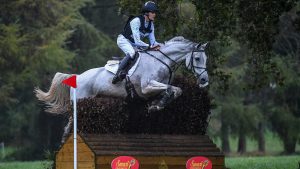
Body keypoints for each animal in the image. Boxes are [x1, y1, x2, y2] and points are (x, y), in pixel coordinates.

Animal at [35, 36, 209, 114]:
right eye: (197, 58)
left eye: (206, 58)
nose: (204, 80)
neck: (161, 61)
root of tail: (77, 77)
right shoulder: (146, 87)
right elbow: (171, 89)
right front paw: (157, 105)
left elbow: (175, 90)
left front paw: (156, 104)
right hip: (80, 101)